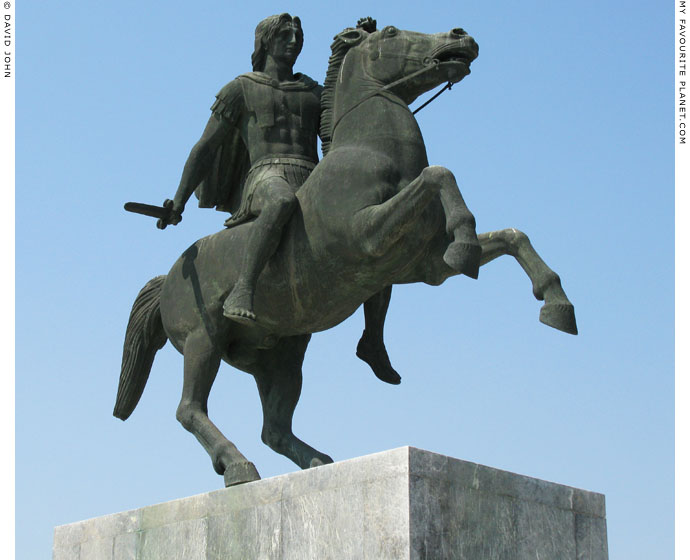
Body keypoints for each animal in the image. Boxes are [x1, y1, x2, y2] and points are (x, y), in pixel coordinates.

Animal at [113, 23, 576, 486]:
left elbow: (511, 237)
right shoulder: (366, 235)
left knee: (274, 428)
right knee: (190, 409)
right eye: (390, 32)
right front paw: (467, 242)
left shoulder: (423, 265)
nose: (460, 36)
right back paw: (239, 465)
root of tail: (170, 277)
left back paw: (318, 459)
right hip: (203, 340)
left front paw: (556, 304)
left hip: (280, 357)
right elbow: (438, 174)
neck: (373, 153)